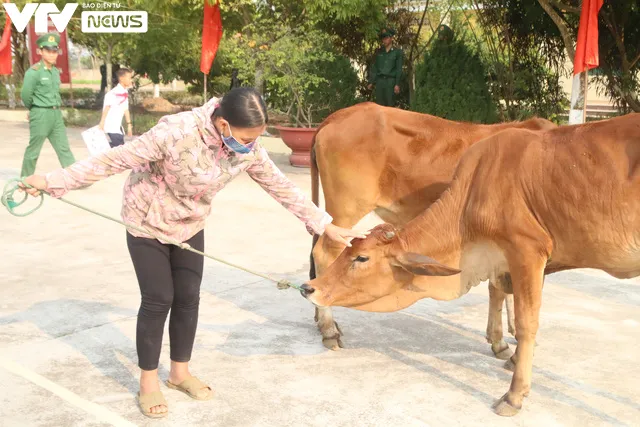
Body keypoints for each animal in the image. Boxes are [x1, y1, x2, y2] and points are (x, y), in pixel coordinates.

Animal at [310, 101, 556, 354]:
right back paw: (329, 329)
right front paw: (501, 341)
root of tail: (341, 114)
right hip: (345, 208)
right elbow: (502, 289)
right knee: (323, 253)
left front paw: (509, 332)